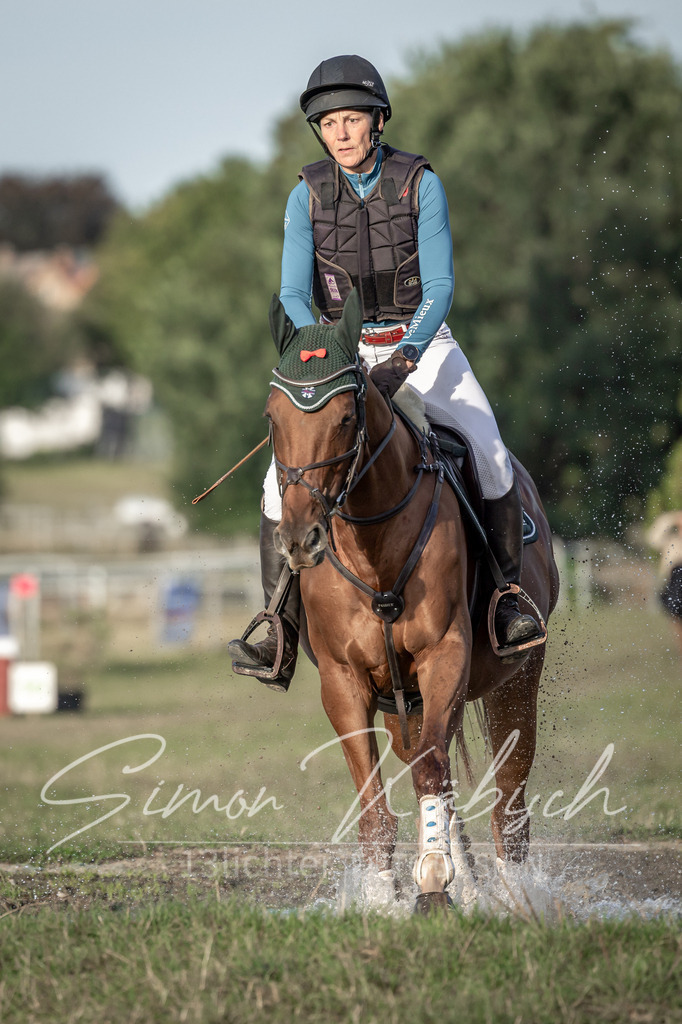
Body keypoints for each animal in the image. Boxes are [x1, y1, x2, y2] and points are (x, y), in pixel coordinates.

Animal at [264, 290, 560, 911]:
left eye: (345, 418)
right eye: (272, 420)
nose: (301, 540)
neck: (372, 544)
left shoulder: (444, 656)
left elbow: (432, 770)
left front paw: (432, 881)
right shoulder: (345, 681)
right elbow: (376, 806)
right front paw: (388, 899)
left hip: (516, 683)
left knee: (509, 802)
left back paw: (515, 898)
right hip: (408, 706)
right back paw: (467, 883)